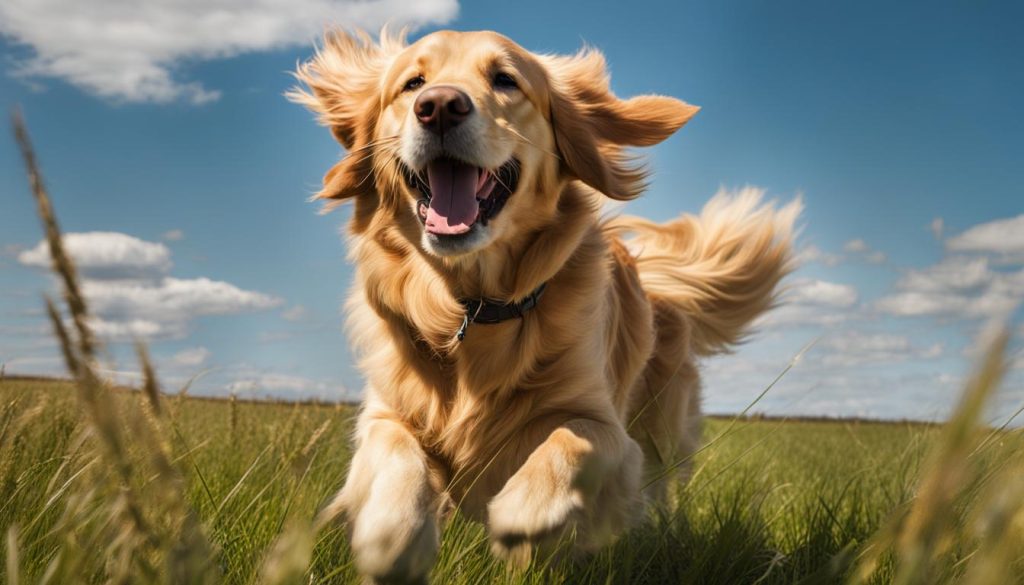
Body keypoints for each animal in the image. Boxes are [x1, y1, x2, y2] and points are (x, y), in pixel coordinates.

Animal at [288, 29, 798, 581]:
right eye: (412, 84)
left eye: (505, 80)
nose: (439, 106)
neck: (471, 307)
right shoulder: (386, 412)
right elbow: (396, 452)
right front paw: (390, 534)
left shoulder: (609, 429)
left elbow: (570, 438)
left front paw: (522, 510)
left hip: (661, 434)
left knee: (662, 491)